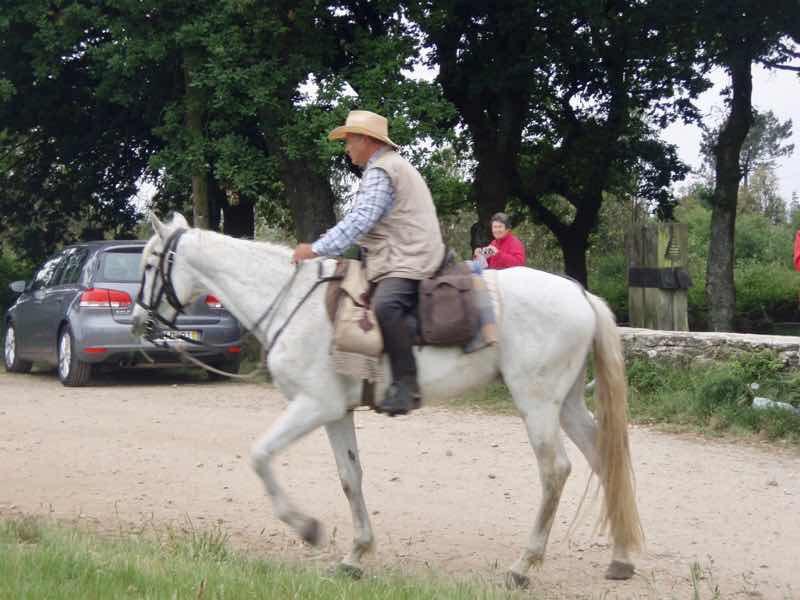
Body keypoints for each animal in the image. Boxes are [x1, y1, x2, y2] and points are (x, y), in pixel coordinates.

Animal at [131, 212, 643, 588]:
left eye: (151, 263)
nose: (138, 320)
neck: (295, 304)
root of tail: (579, 293)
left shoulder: (312, 406)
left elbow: (260, 456)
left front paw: (308, 528)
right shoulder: (335, 413)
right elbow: (350, 477)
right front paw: (355, 555)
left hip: (536, 403)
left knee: (555, 471)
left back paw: (522, 566)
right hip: (567, 404)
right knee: (604, 460)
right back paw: (620, 559)